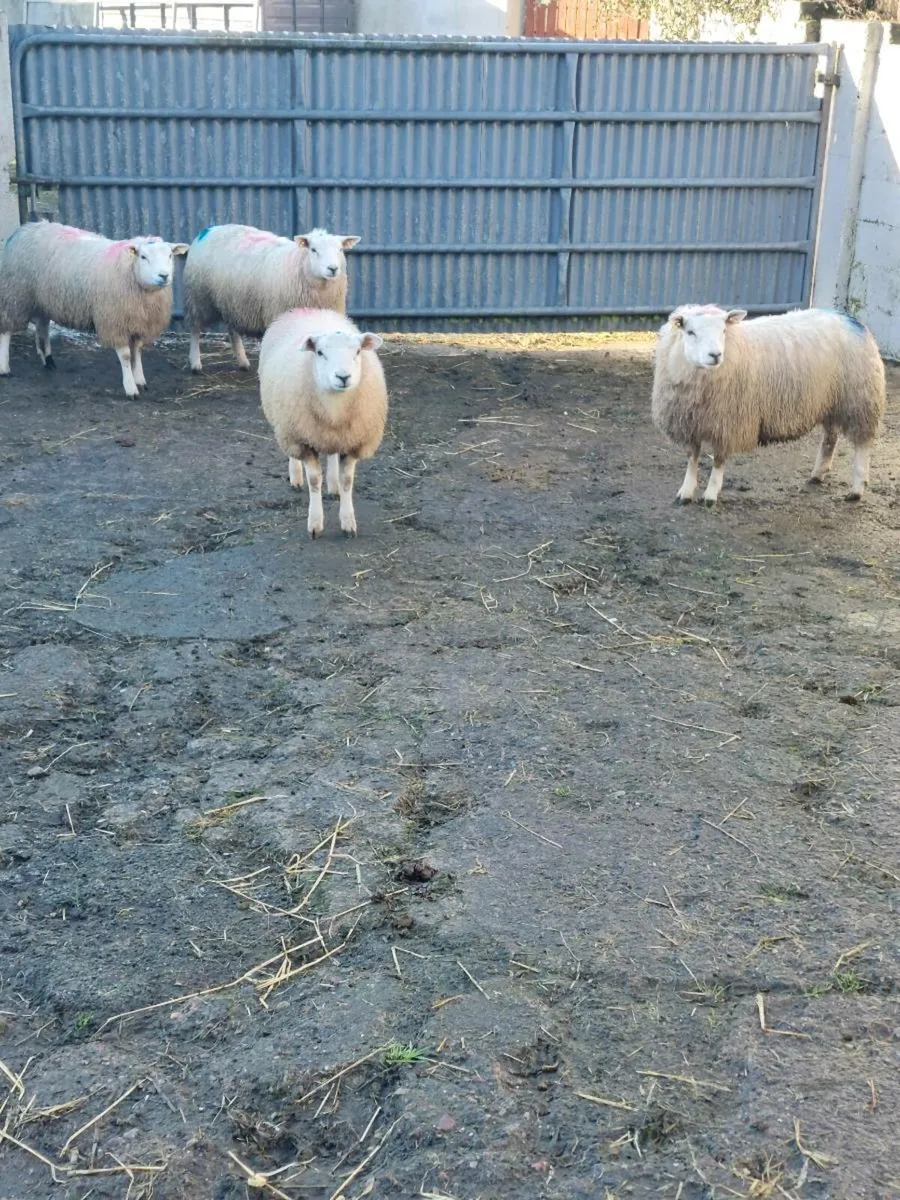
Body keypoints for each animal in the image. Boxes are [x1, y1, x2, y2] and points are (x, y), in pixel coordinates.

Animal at [0, 221, 188, 397]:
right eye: (143, 257)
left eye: (170, 255)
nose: (164, 276)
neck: (130, 272)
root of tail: (26, 228)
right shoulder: (115, 321)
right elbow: (126, 356)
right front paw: (131, 388)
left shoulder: (137, 321)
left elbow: (137, 352)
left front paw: (140, 379)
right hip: (15, 294)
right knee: (7, 331)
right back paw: (5, 368)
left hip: (42, 300)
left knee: (42, 327)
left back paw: (48, 360)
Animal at [183, 224, 361, 374]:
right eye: (313, 250)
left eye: (340, 249)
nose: (333, 268)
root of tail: (207, 230)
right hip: (199, 297)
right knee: (195, 327)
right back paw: (195, 363)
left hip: (231, 301)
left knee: (232, 330)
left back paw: (242, 362)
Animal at [258, 308, 387, 538]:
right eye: (319, 353)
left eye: (357, 352)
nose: (343, 377)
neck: (334, 409)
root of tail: (308, 309)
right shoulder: (302, 440)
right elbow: (314, 480)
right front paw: (315, 524)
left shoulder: (354, 442)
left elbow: (347, 481)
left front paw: (348, 522)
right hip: (286, 424)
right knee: (293, 455)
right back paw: (296, 477)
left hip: (331, 435)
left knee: (333, 454)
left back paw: (333, 486)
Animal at [651, 305, 886, 505]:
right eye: (690, 332)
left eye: (724, 330)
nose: (715, 355)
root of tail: (850, 319)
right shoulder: (690, 422)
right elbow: (692, 458)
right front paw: (685, 492)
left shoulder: (729, 422)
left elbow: (718, 460)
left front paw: (710, 495)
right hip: (831, 400)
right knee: (830, 437)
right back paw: (818, 474)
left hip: (859, 399)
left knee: (862, 444)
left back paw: (857, 489)